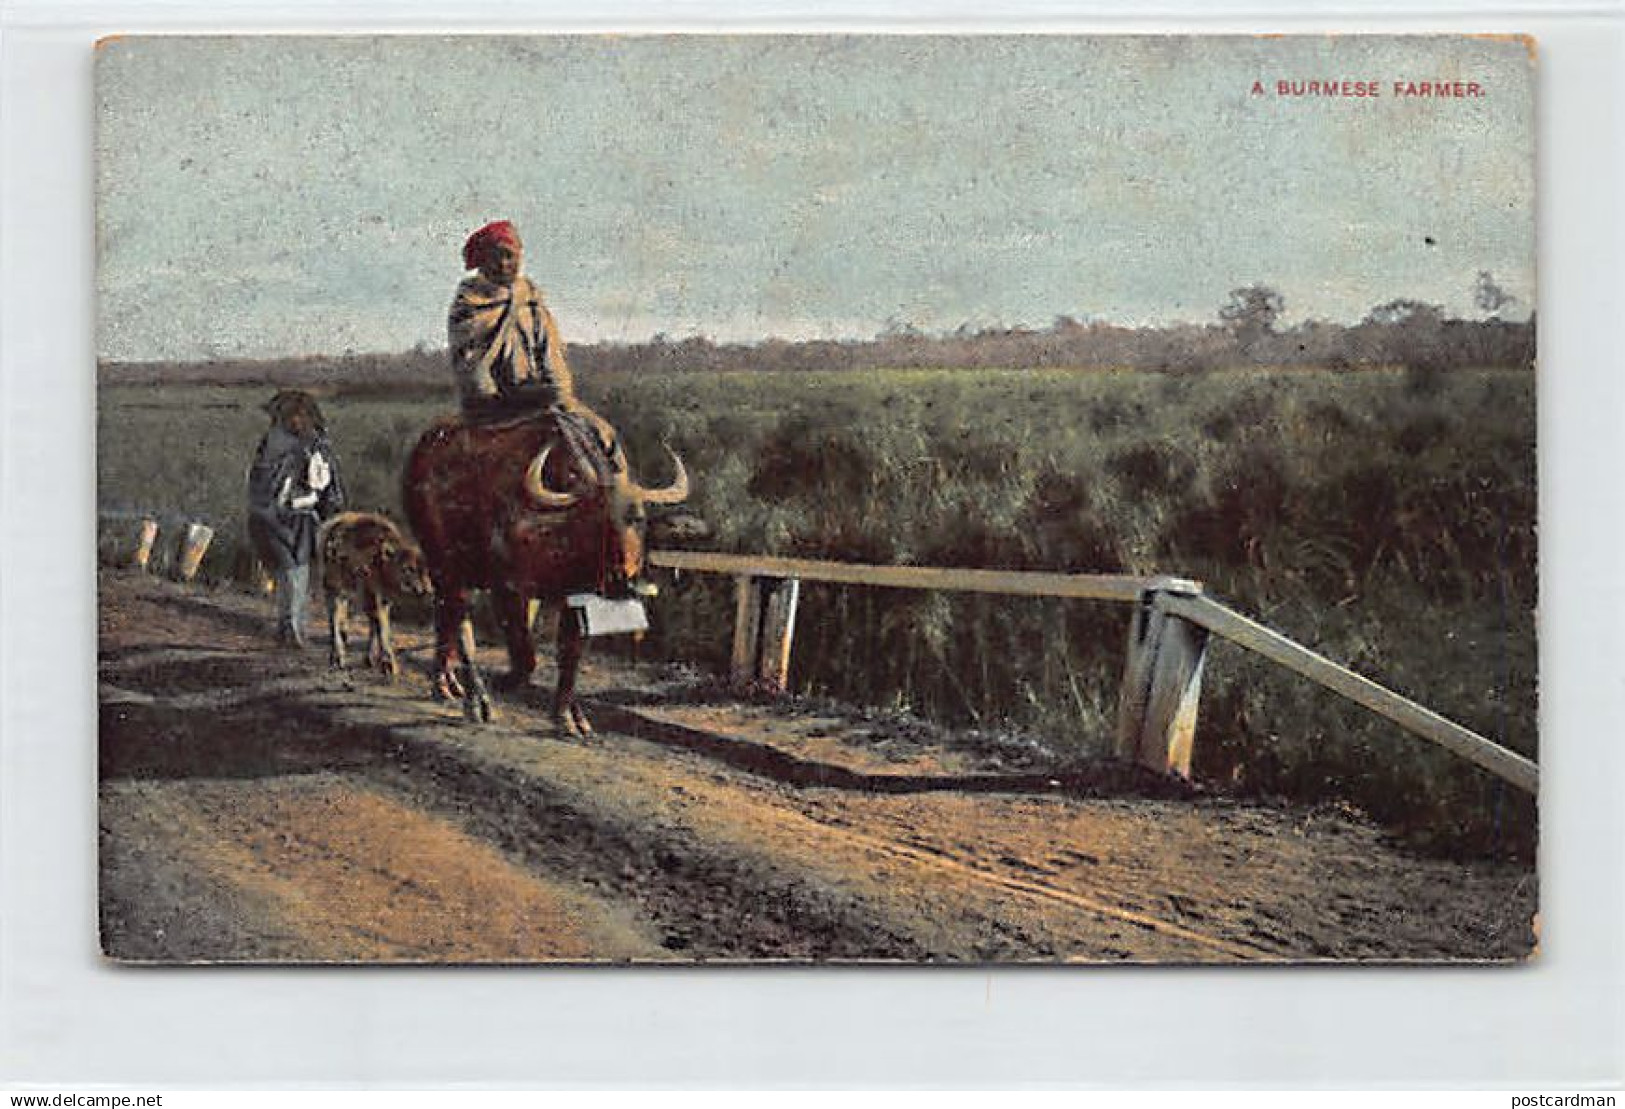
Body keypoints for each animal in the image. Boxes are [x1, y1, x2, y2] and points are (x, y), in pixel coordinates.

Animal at [315, 507, 432, 673]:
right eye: (408, 569)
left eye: (427, 571)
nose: (425, 589)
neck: (382, 562)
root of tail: (334, 525)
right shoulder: (370, 596)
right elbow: (381, 626)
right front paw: (389, 664)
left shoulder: (383, 600)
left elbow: (380, 625)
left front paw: (372, 659)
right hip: (333, 587)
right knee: (334, 619)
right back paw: (337, 658)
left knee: (344, 617)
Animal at [409, 409, 689, 728]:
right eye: (597, 521)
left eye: (638, 519)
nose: (623, 580)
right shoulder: (510, 587)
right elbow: (525, 653)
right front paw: (506, 685)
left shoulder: (576, 592)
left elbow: (570, 651)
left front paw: (568, 716)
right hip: (443, 561)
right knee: (456, 618)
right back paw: (473, 698)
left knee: (447, 617)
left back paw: (447, 684)